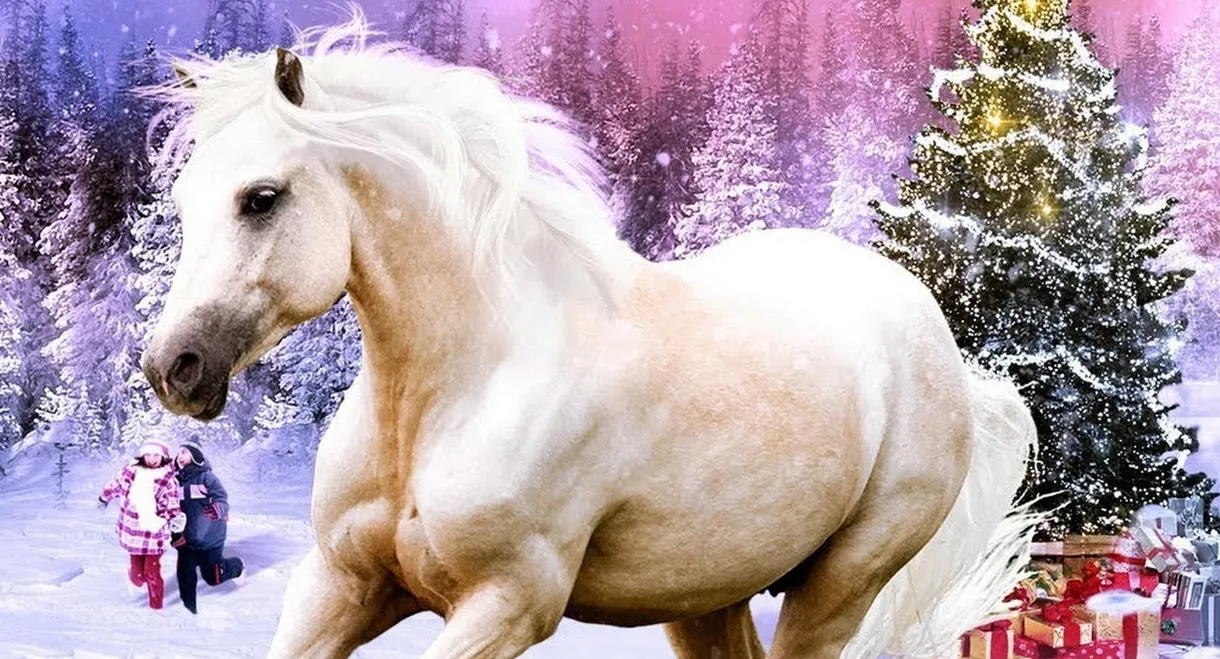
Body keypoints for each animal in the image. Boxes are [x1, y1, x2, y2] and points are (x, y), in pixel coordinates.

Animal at [140, 11, 1040, 659]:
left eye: (261, 197)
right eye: (182, 200)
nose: (170, 367)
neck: (449, 395)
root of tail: (938, 338)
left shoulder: (511, 601)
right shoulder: (337, 585)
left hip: (842, 583)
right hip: (705, 594)